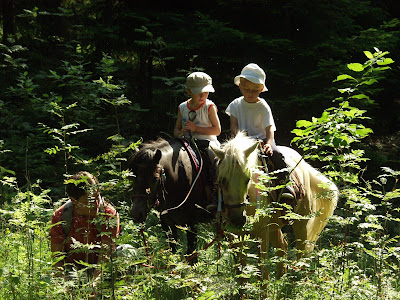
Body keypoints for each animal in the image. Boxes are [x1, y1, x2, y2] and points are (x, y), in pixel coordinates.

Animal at [211, 132, 340, 280]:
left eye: (247, 179)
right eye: (222, 180)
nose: (237, 219)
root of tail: (304, 166)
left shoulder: (262, 233)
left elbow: (263, 270)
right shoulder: (236, 236)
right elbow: (241, 273)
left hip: (300, 222)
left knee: (301, 253)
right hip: (274, 226)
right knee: (282, 246)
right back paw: (280, 279)